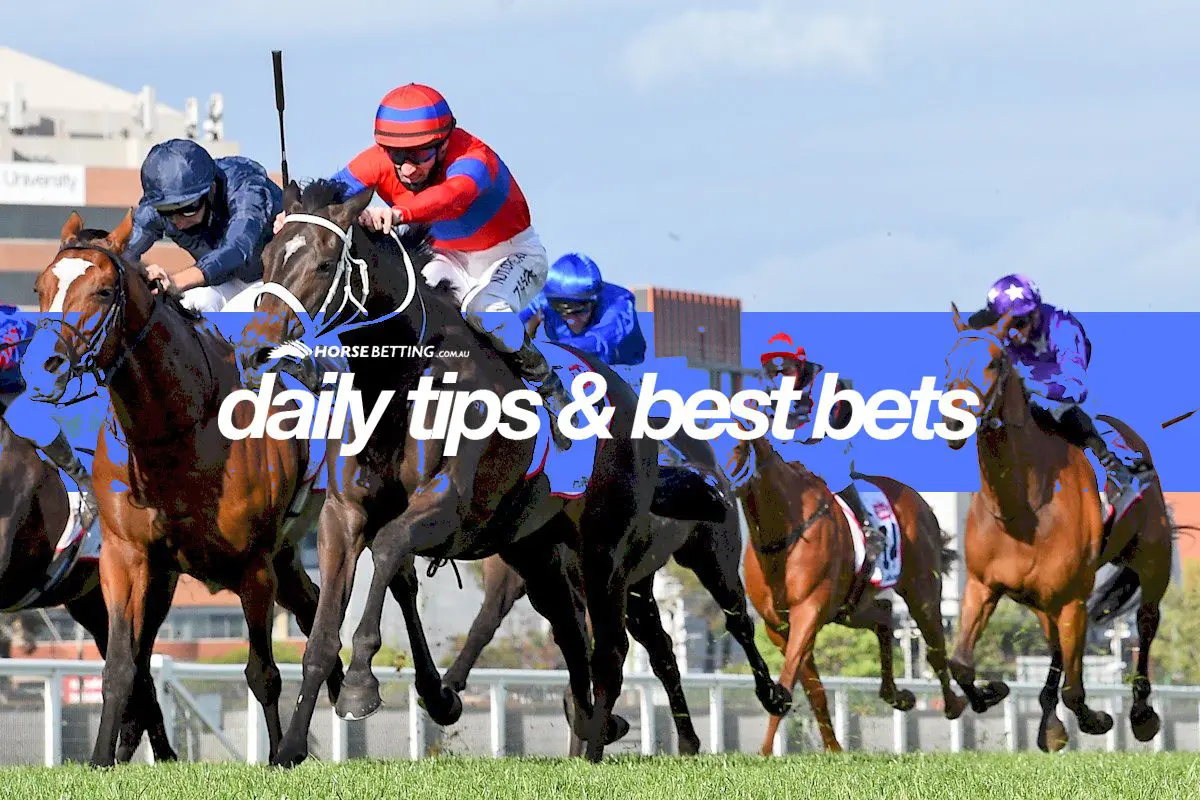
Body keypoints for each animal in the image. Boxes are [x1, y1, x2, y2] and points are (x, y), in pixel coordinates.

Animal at [29, 212, 338, 767]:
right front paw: (100, 760)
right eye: (41, 287)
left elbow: (263, 672)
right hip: (194, 574)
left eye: (103, 291)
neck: (177, 429)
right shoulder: (125, 557)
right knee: (308, 606)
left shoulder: (253, 565)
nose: (44, 366)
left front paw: (279, 756)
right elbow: (121, 667)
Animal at [237, 179, 724, 762]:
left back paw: (593, 747)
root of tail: (632, 401)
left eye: (326, 262)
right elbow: (322, 635)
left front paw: (360, 687)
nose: (260, 345)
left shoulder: (449, 507)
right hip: (535, 550)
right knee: (571, 637)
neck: (402, 375)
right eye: (267, 257)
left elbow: (389, 548)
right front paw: (289, 749)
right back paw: (588, 733)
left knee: (610, 649)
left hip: (604, 550)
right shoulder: (343, 514)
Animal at [720, 429, 964, 753]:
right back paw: (897, 695)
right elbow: (812, 687)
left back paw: (958, 703)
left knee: (935, 646)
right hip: (850, 607)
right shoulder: (777, 626)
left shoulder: (808, 611)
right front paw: (833, 748)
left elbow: (788, 678)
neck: (782, 532)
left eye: (737, 446)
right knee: (884, 616)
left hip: (921, 589)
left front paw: (766, 750)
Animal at [936, 304, 1171, 753]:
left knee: (1146, 623)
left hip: (1152, 563)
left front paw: (1097, 719)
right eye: (946, 362)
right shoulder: (982, 586)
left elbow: (1076, 691)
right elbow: (960, 664)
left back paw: (1141, 713)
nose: (952, 423)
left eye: (994, 362)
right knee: (1058, 651)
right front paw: (992, 692)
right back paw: (1050, 723)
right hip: (1047, 602)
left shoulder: (1073, 599)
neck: (1023, 508)